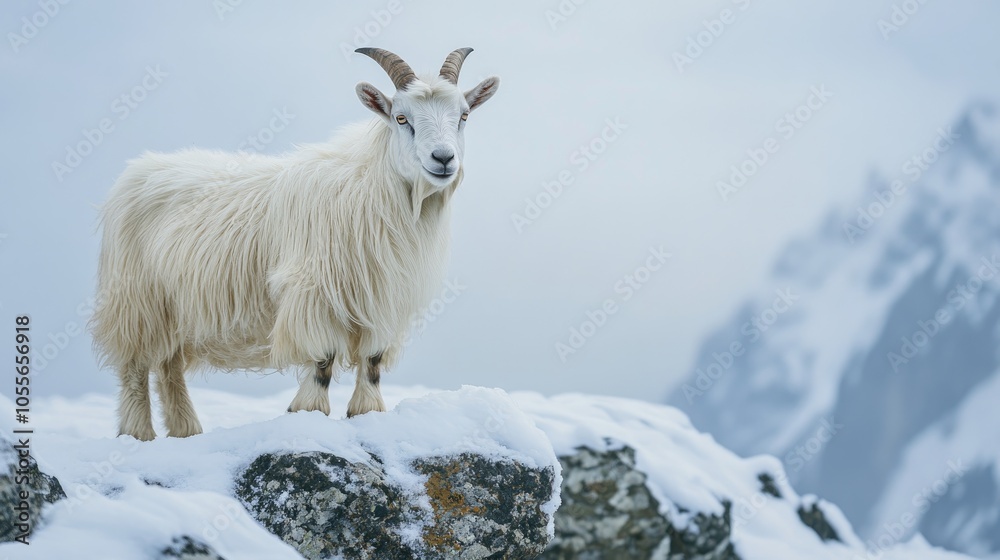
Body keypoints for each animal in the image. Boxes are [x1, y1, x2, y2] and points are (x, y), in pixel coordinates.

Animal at [90, 48, 499, 440]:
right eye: (401, 118)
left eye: (463, 115)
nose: (443, 159)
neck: (374, 191)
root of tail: (137, 170)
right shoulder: (313, 292)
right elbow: (323, 357)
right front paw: (307, 410)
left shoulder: (382, 300)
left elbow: (373, 361)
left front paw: (366, 411)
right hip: (136, 302)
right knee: (134, 368)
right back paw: (137, 434)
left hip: (175, 310)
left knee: (169, 368)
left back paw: (186, 430)